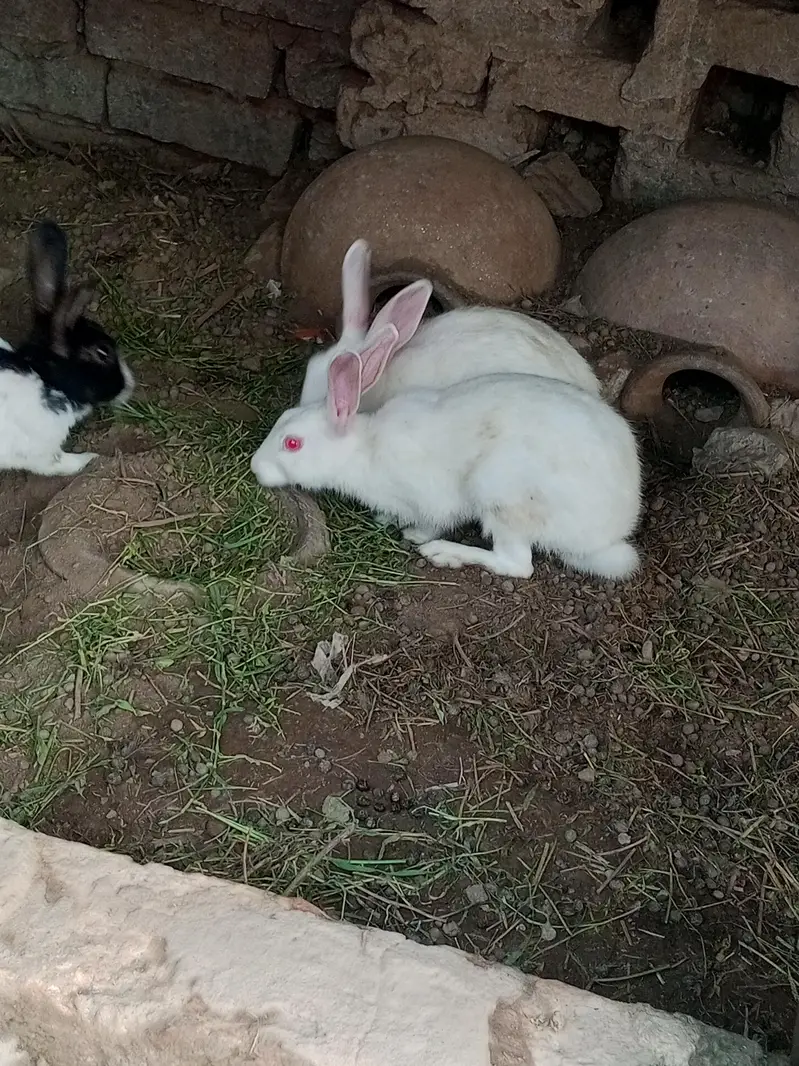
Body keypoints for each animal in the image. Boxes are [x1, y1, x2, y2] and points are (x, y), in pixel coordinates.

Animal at [0, 220, 134, 477]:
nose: (130, 385)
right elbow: (61, 463)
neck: (46, 377)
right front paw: (91, 458)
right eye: (102, 352)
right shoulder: (40, 453)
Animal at [253, 327, 642, 581]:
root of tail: (611, 531)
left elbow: (432, 520)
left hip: (501, 494)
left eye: (292, 443)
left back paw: (445, 553)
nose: (256, 467)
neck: (364, 449)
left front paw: (414, 535)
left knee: (518, 563)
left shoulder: (431, 499)